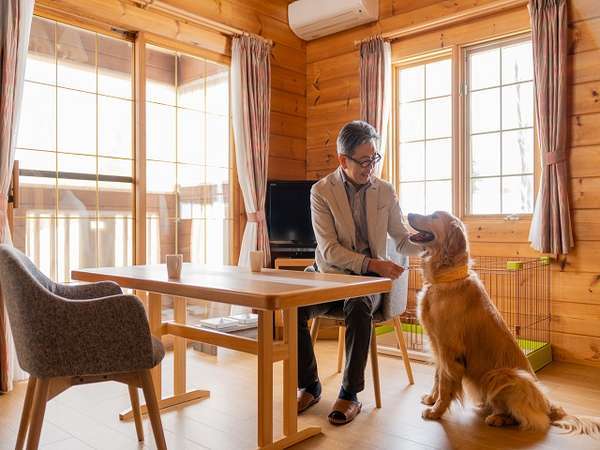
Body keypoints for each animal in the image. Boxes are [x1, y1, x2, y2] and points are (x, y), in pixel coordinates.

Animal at [408, 211, 600, 436]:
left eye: (434, 216)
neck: (446, 278)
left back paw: (498, 418)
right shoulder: (437, 345)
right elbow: (437, 377)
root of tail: (549, 406)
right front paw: (431, 399)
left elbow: (445, 385)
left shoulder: (449, 349)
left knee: (529, 418)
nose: (409, 213)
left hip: (503, 375)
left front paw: (436, 411)